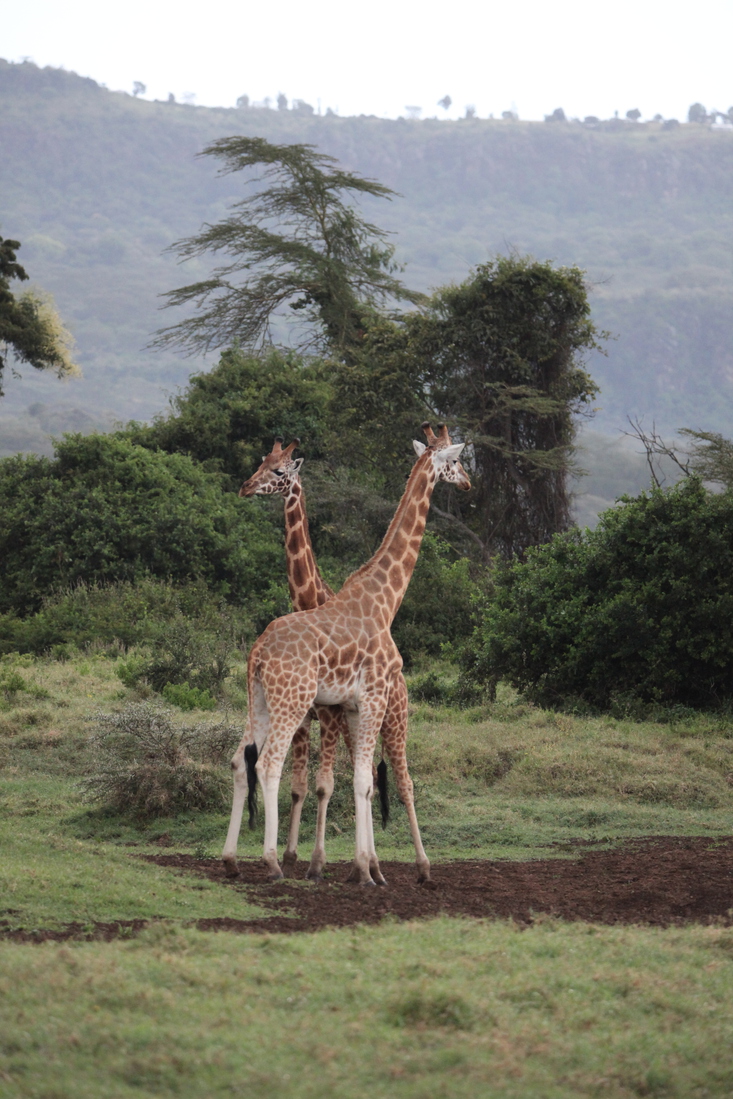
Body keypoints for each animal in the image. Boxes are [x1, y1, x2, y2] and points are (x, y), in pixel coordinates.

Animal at [224, 422, 472, 883]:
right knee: (271, 766)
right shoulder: (367, 699)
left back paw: (231, 859)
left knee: (237, 761)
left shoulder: (352, 707)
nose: (467, 482)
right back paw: (275, 862)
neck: (384, 600)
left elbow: (361, 782)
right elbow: (351, 782)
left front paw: (364, 867)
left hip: (262, 703)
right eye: (457, 460)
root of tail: (258, 653)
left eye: (275, 467)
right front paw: (354, 868)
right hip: (304, 703)